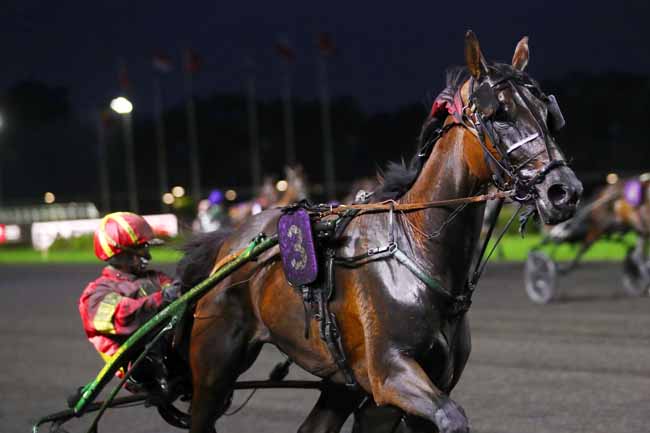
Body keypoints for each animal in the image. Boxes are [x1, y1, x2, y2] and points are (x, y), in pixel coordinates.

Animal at [180, 31, 580, 432]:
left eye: (548, 113)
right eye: (499, 114)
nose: (564, 190)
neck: (415, 246)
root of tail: (231, 242)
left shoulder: (402, 390)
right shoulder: (389, 374)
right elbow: (451, 416)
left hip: (338, 384)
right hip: (214, 369)